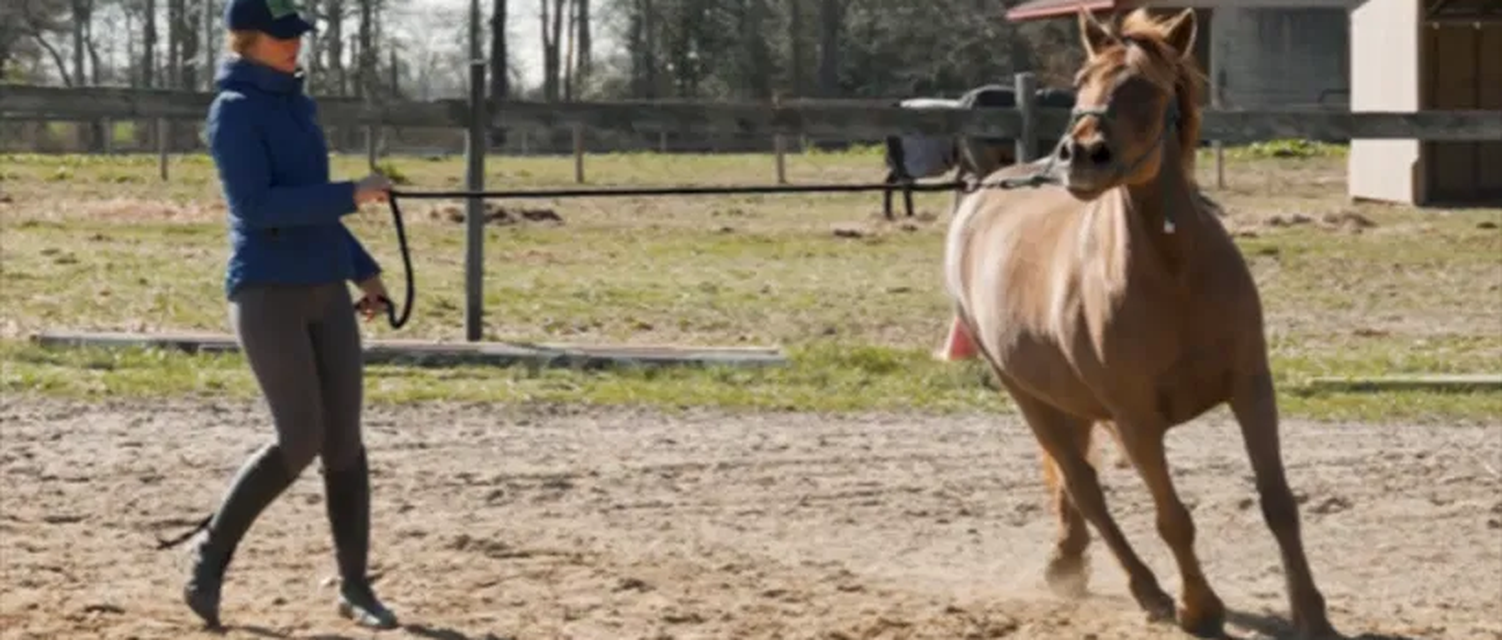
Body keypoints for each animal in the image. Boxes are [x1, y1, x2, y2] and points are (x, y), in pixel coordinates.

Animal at [938, 8, 1336, 639]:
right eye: (1083, 80)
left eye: (1147, 87)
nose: (1081, 155)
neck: (1174, 274)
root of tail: (982, 196)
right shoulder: (1136, 421)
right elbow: (1173, 518)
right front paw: (1199, 608)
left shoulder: (1252, 390)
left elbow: (1278, 502)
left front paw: (1311, 612)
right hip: (1025, 394)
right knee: (1085, 487)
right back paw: (1146, 589)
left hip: (1066, 399)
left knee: (1074, 486)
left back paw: (1068, 562)